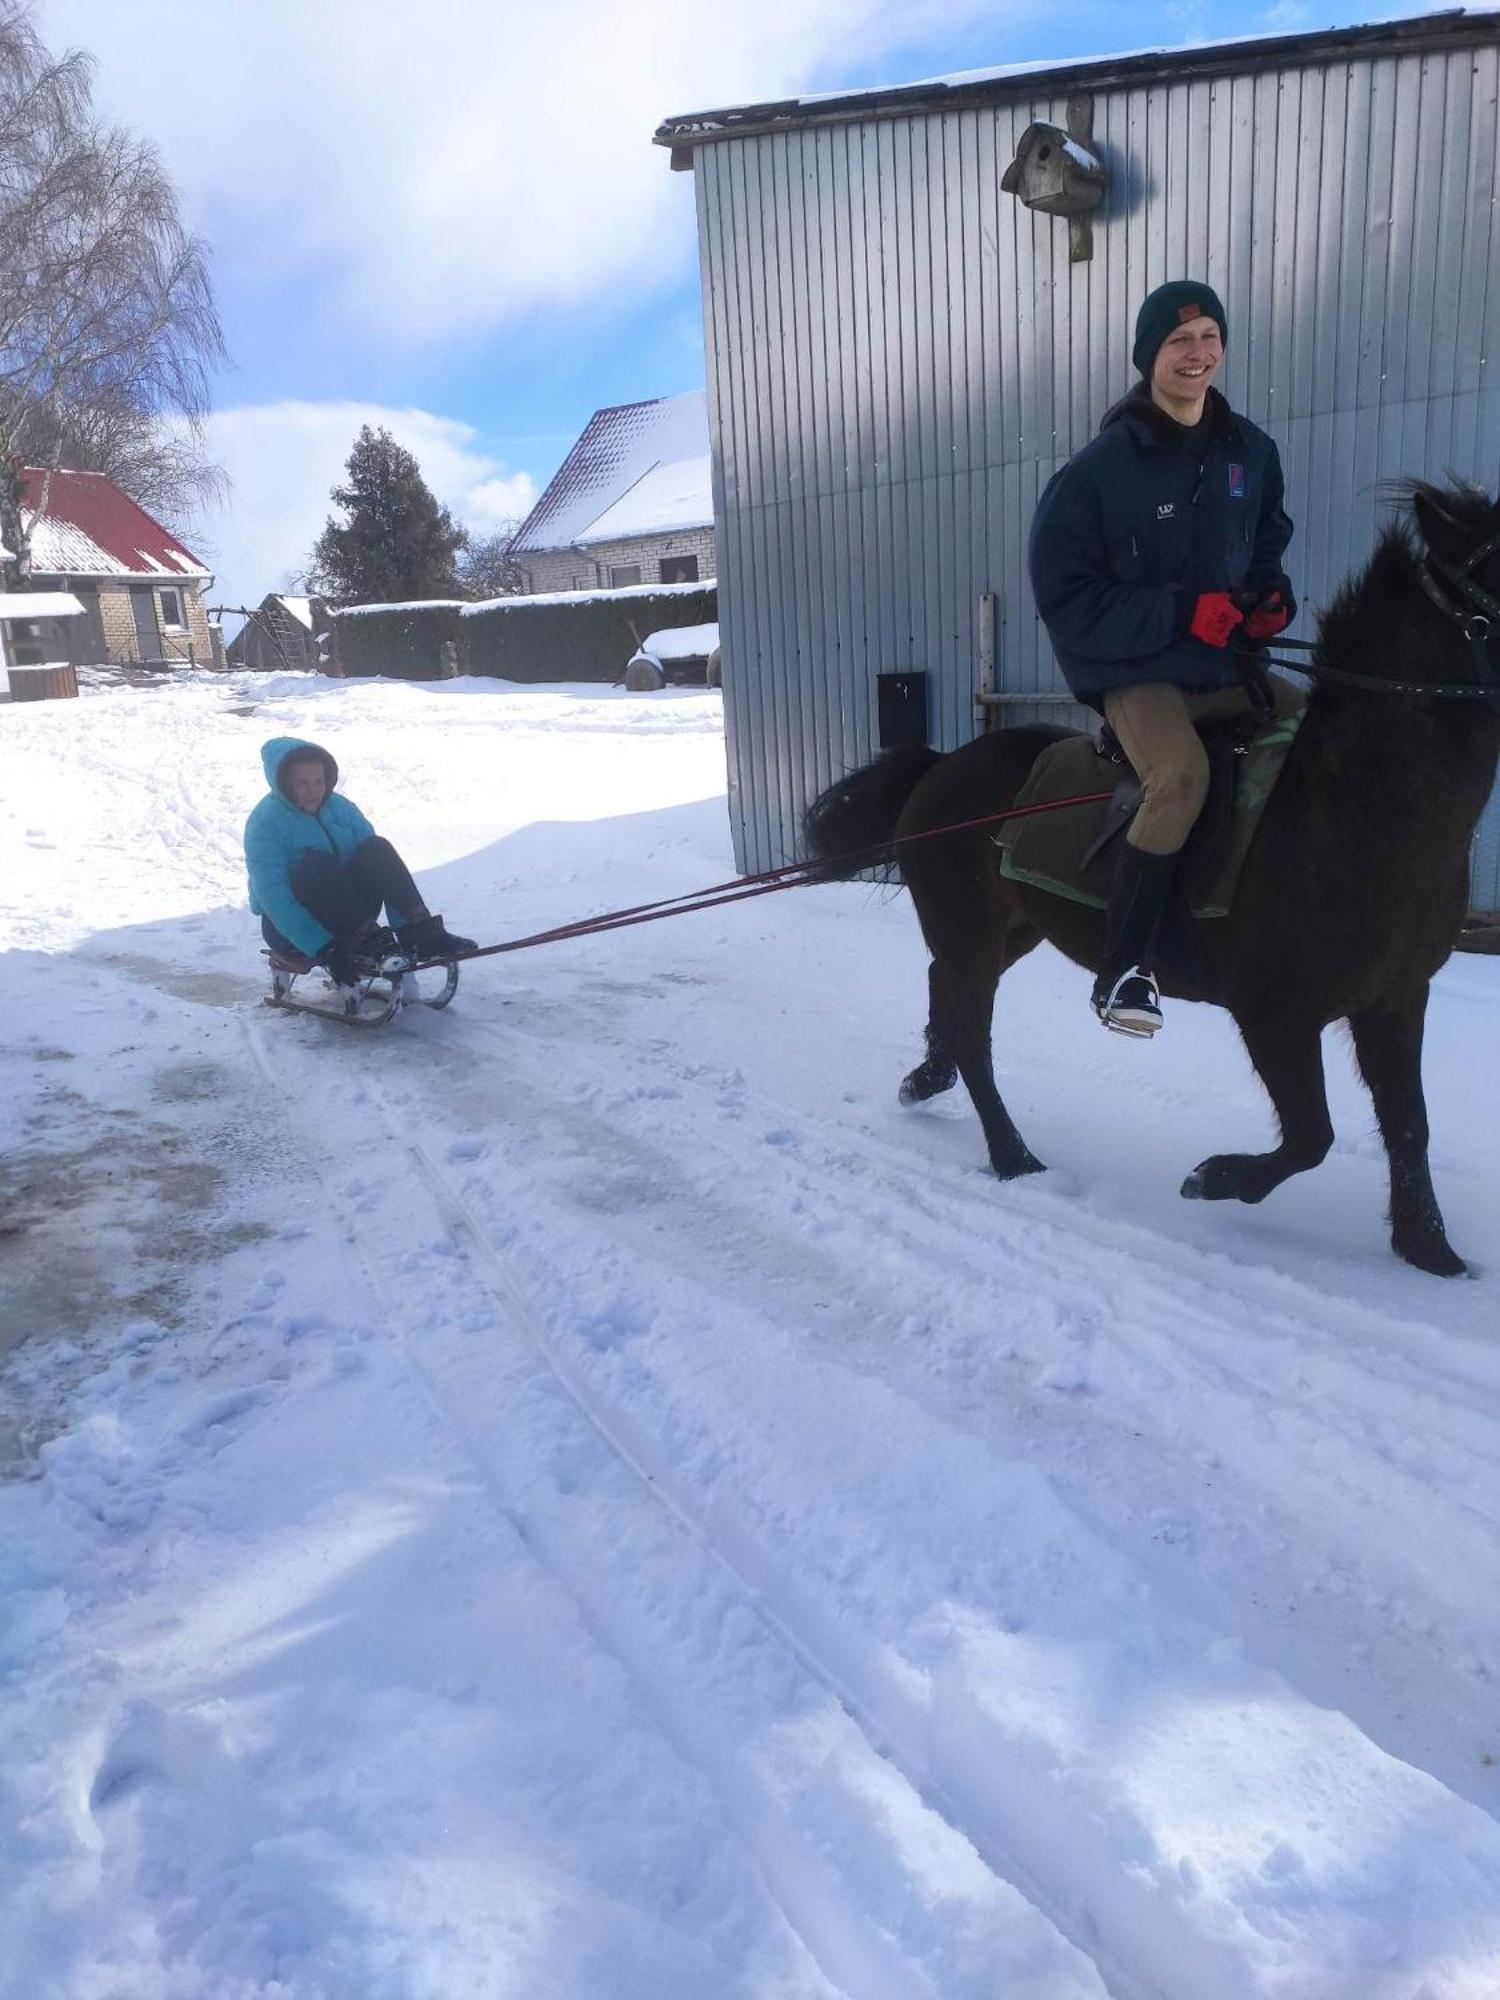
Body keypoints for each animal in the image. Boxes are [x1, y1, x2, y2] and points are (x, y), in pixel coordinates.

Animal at [812, 484, 1500, 1272]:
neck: (1350, 807)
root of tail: (939, 767)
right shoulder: (1274, 1015)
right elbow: (1310, 1135)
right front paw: (1215, 1179)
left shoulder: (1396, 1000)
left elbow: (1409, 1123)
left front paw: (1429, 1248)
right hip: (970, 931)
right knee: (974, 1037)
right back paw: (1014, 1157)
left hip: (1010, 930)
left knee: (944, 996)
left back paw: (925, 1080)